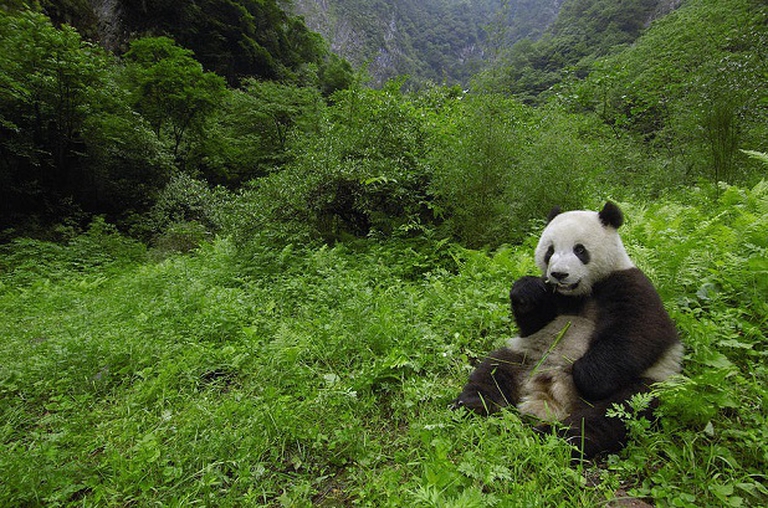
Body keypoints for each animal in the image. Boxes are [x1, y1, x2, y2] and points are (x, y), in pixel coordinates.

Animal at [454, 202, 683, 458]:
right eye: (550, 250)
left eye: (579, 250)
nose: (559, 274)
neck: (579, 293)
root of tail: (547, 398)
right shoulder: (552, 299)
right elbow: (532, 325)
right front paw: (526, 290)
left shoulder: (629, 285)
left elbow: (639, 334)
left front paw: (585, 373)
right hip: (525, 358)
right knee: (493, 369)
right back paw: (472, 404)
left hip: (644, 386)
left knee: (610, 415)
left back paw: (556, 436)